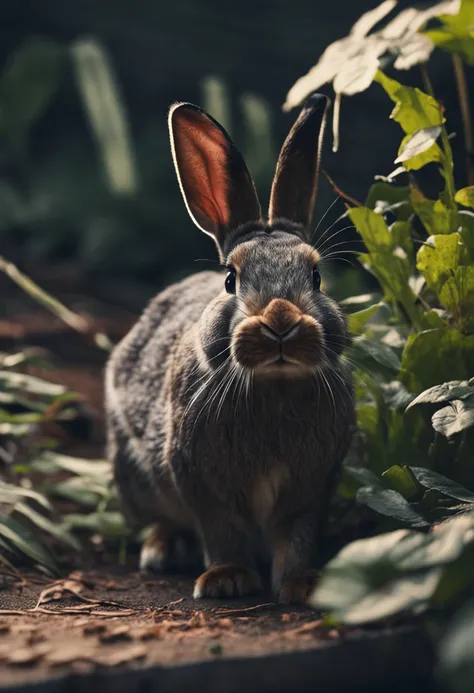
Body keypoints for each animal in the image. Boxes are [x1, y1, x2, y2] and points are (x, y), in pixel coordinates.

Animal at [104, 92, 356, 600]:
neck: (274, 385)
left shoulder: (310, 488)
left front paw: (303, 584)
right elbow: (221, 530)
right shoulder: (200, 481)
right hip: (135, 477)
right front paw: (227, 580)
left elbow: (297, 535)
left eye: (316, 276)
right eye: (230, 279)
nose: (280, 321)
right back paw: (163, 550)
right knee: (161, 519)